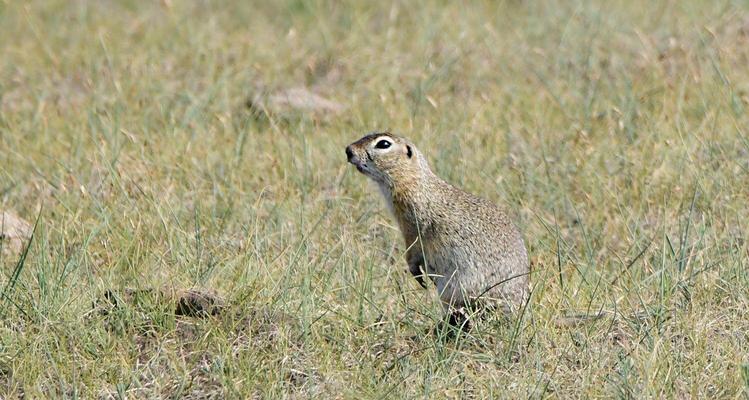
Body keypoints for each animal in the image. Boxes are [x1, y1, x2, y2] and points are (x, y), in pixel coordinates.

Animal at [346, 133, 528, 330]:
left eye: (384, 144)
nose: (348, 150)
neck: (414, 179)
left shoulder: (412, 226)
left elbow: (412, 251)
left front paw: (416, 273)